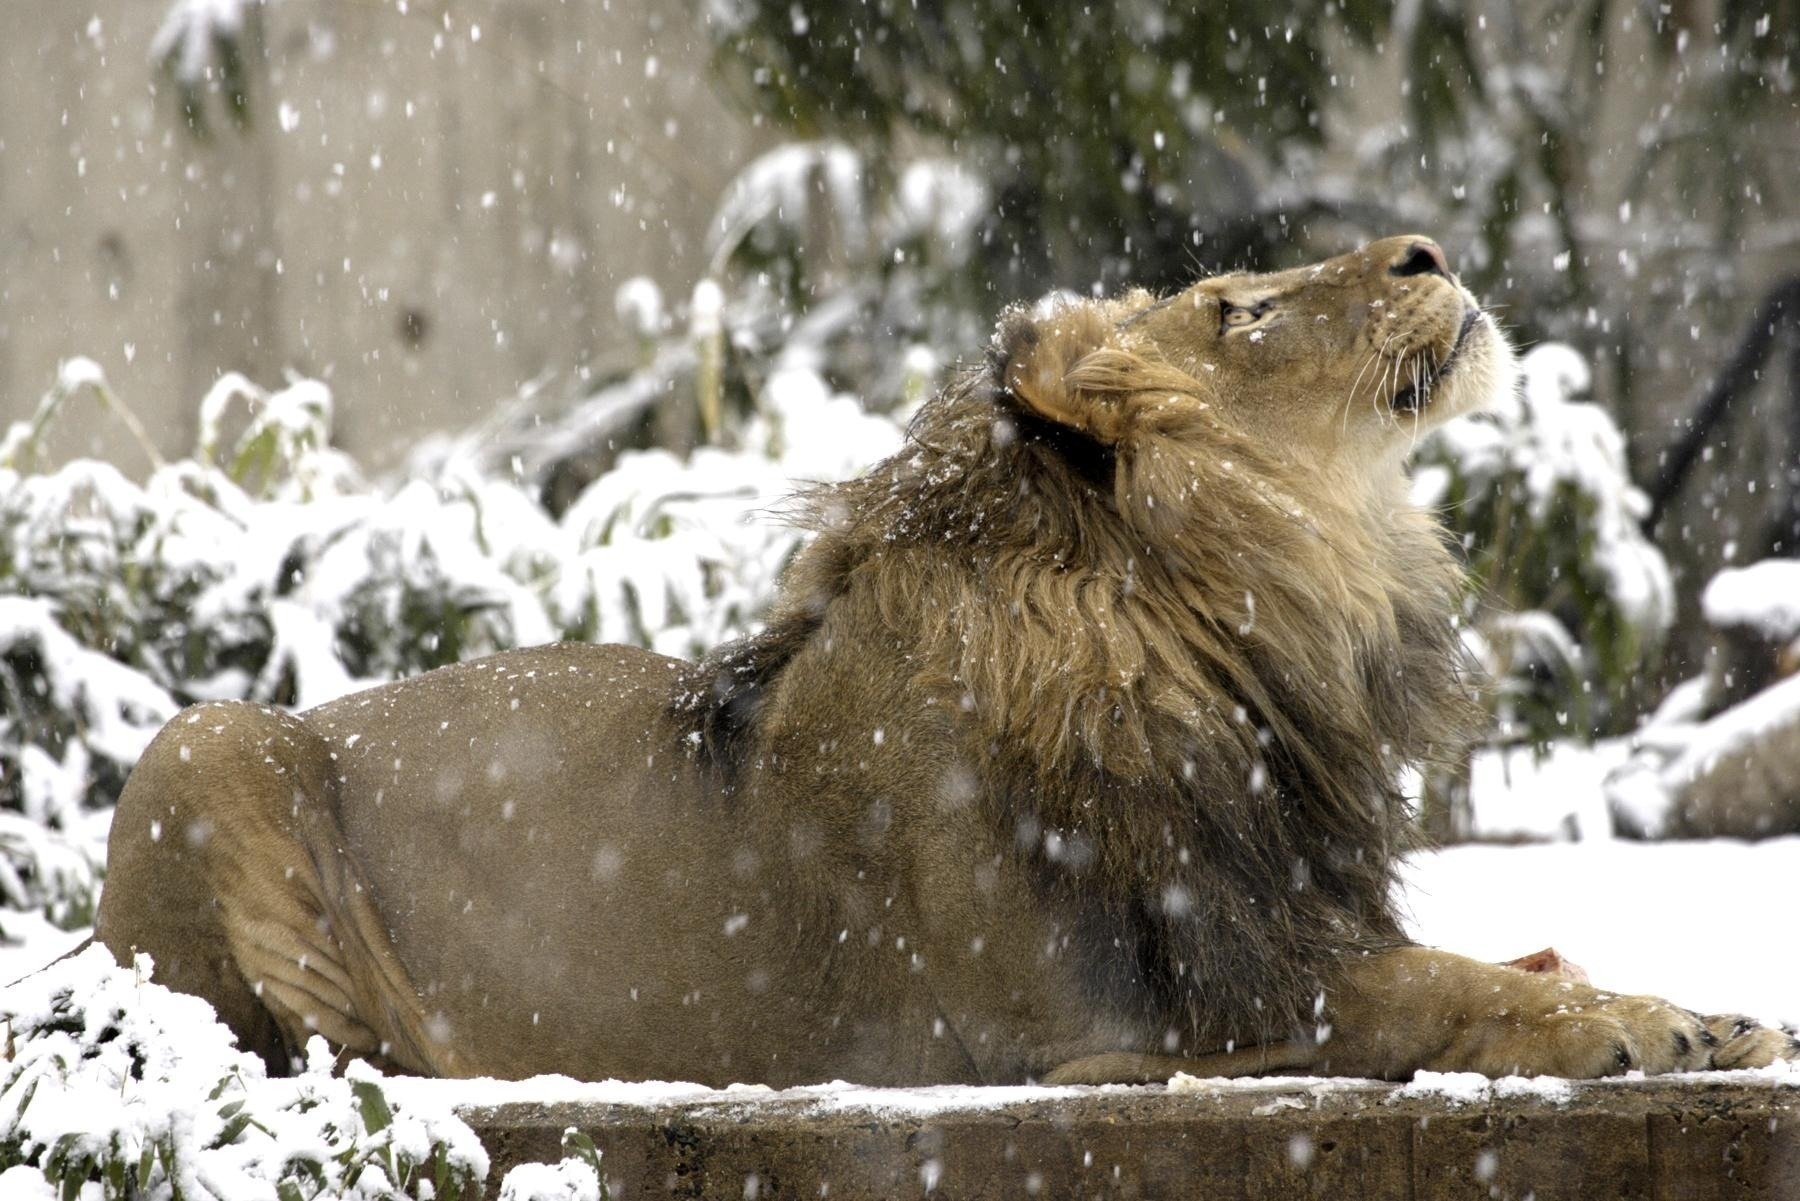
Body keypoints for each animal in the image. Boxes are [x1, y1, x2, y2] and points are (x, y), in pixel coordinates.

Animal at [95, 236, 1796, 1085]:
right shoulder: (1101, 1027)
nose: (1428, 246)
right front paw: (1642, 1026)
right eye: (1235, 306)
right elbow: (1440, 998)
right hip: (209, 741)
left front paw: (1705, 1009)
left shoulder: (1271, 919)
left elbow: (1499, 962)